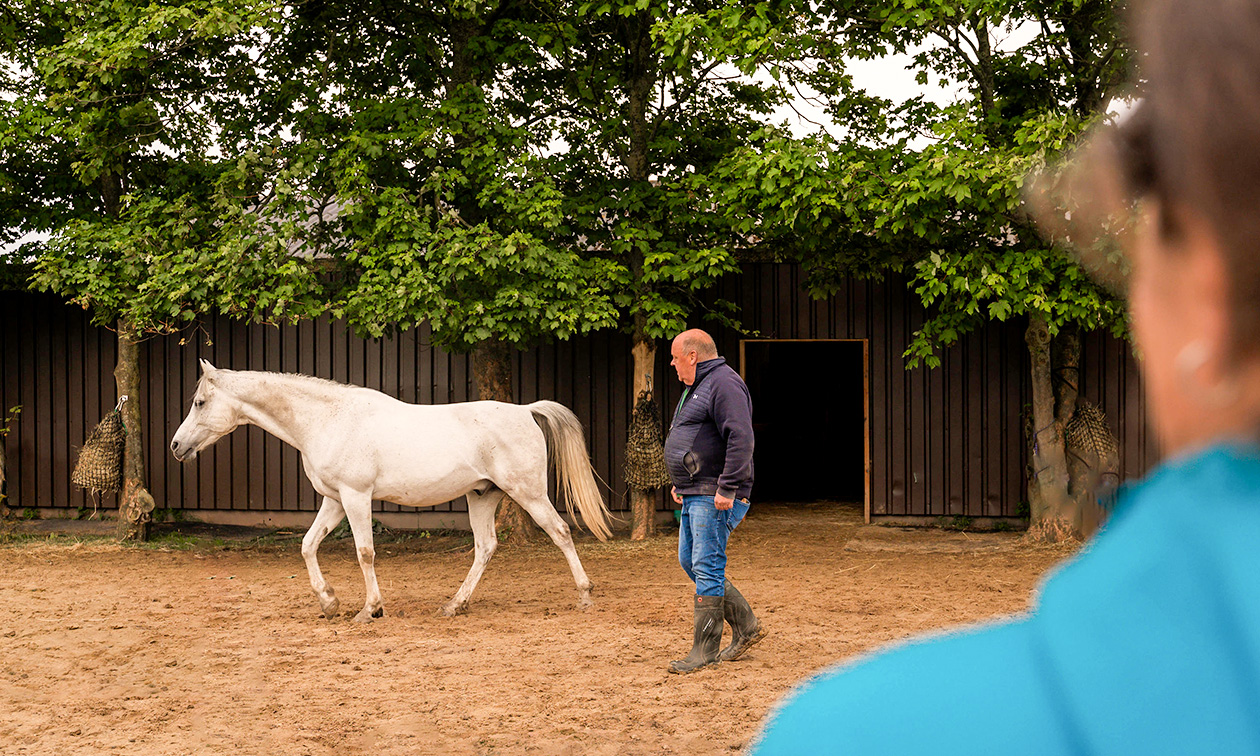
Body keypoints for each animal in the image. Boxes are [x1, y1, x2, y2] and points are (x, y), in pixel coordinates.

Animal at [169, 359, 612, 622]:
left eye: (200, 401)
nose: (176, 446)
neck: (328, 419)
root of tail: (525, 411)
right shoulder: (334, 499)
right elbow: (308, 545)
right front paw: (329, 602)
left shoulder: (356, 497)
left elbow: (364, 552)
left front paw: (370, 610)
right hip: (482, 496)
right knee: (485, 547)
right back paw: (455, 605)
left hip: (529, 493)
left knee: (560, 533)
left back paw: (585, 597)